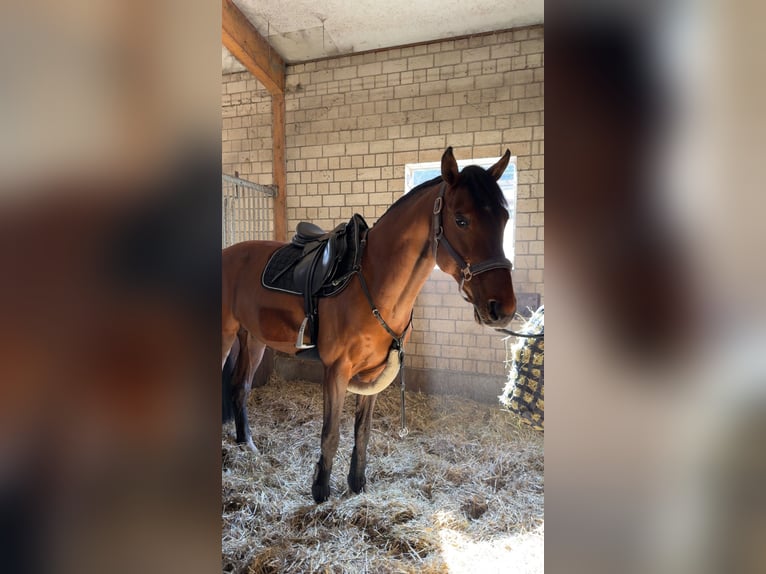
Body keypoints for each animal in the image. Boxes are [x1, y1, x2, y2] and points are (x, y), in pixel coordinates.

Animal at [222, 146, 517, 503]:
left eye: (504, 218)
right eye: (461, 220)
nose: (503, 308)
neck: (373, 282)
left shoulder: (374, 372)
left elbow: (362, 432)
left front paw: (357, 483)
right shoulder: (336, 369)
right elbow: (331, 433)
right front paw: (321, 491)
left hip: (253, 338)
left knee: (240, 387)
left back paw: (247, 445)